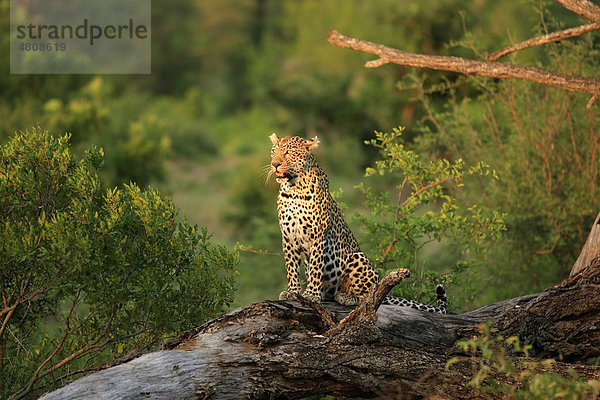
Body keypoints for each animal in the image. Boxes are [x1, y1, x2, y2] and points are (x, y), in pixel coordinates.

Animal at [270, 134, 448, 316]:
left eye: (288, 152)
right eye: (273, 151)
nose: (274, 164)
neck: (293, 189)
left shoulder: (318, 236)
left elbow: (316, 268)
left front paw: (311, 295)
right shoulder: (288, 237)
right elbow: (291, 267)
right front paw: (292, 292)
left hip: (358, 259)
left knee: (370, 298)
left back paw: (346, 297)